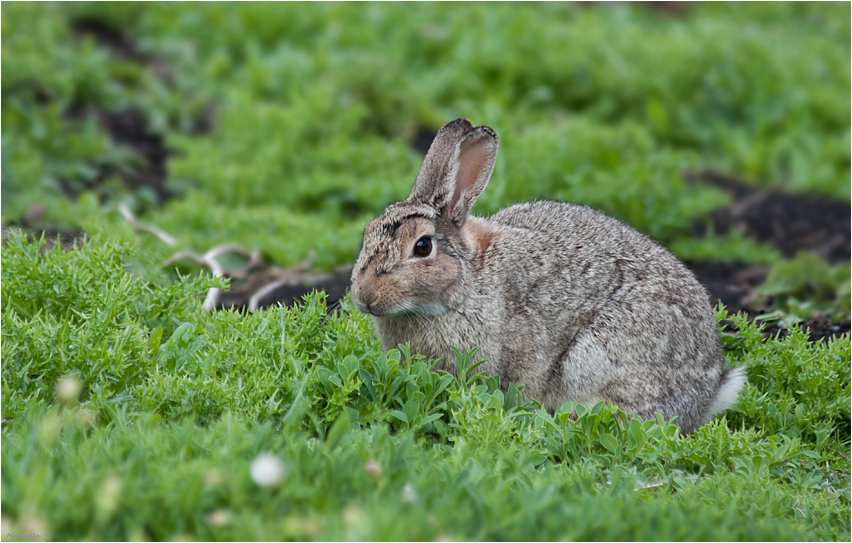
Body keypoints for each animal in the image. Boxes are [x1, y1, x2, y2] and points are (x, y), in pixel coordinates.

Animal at [350, 118, 744, 434]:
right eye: (367, 232)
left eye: (422, 247)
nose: (365, 296)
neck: (462, 285)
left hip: (597, 359)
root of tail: (709, 392)